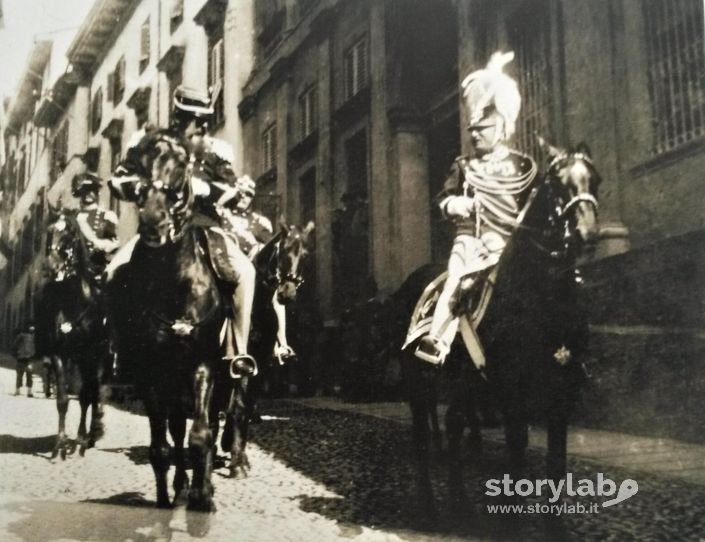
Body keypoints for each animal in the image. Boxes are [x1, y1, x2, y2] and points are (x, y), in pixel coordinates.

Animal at [36, 206, 111, 462]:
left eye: (68, 232)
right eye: (48, 230)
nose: (50, 267)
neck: (72, 301)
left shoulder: (88, 354)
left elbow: (86, 397)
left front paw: (78, 442)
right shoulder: (60, 354)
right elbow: (63, 399)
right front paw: (59, 445)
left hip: (97, 357)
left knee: (94, 392)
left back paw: (88, 435)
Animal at [106, 133, 223, 516]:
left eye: (183, 165)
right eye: (138, 164)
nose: (153, 223)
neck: (173, 281)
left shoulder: (202, 364)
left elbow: (201, 436)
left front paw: (204, 496)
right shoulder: (150, 373)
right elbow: (160, 446)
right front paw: (165, 500)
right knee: (174, 428)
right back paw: (180, 486)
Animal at [214, 219, 314, 478]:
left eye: (306, 254)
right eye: (282, 250)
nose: (287, 292)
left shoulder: (260, 366)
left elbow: (246, 407)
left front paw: (237, 452)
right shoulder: (240, 361)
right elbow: (237, 405)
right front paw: (237, 461)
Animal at [402, 139, 600, 516]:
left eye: (595, 179)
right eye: (556, 183)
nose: (587, 234)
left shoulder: (561, 396)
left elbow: (556, 466)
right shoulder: (512, 397)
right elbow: (516, 458)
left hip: (463, 384)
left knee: (454, 425)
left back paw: (460, 505)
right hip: (421, 382)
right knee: (422, 435)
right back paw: (427, 504)